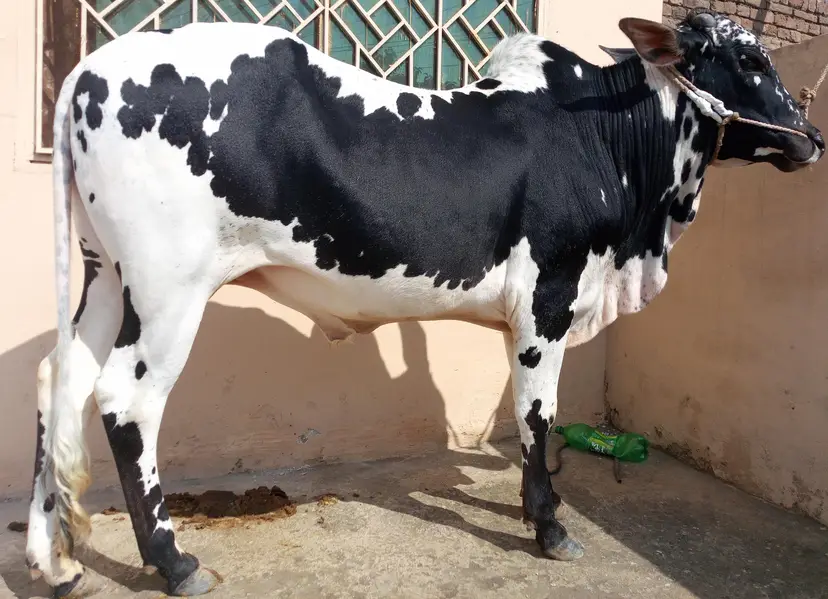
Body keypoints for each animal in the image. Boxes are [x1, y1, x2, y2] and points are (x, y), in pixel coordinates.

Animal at [27, 8, 823, 597]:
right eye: (750, 61)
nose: (812, 136)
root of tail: (90, 69)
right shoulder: (550, 296)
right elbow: (537, 415)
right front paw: (550, 528)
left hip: (107, 277)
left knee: (59, 381)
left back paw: (54, 560)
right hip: (168, 290)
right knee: (126, 401)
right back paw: (174, 563)